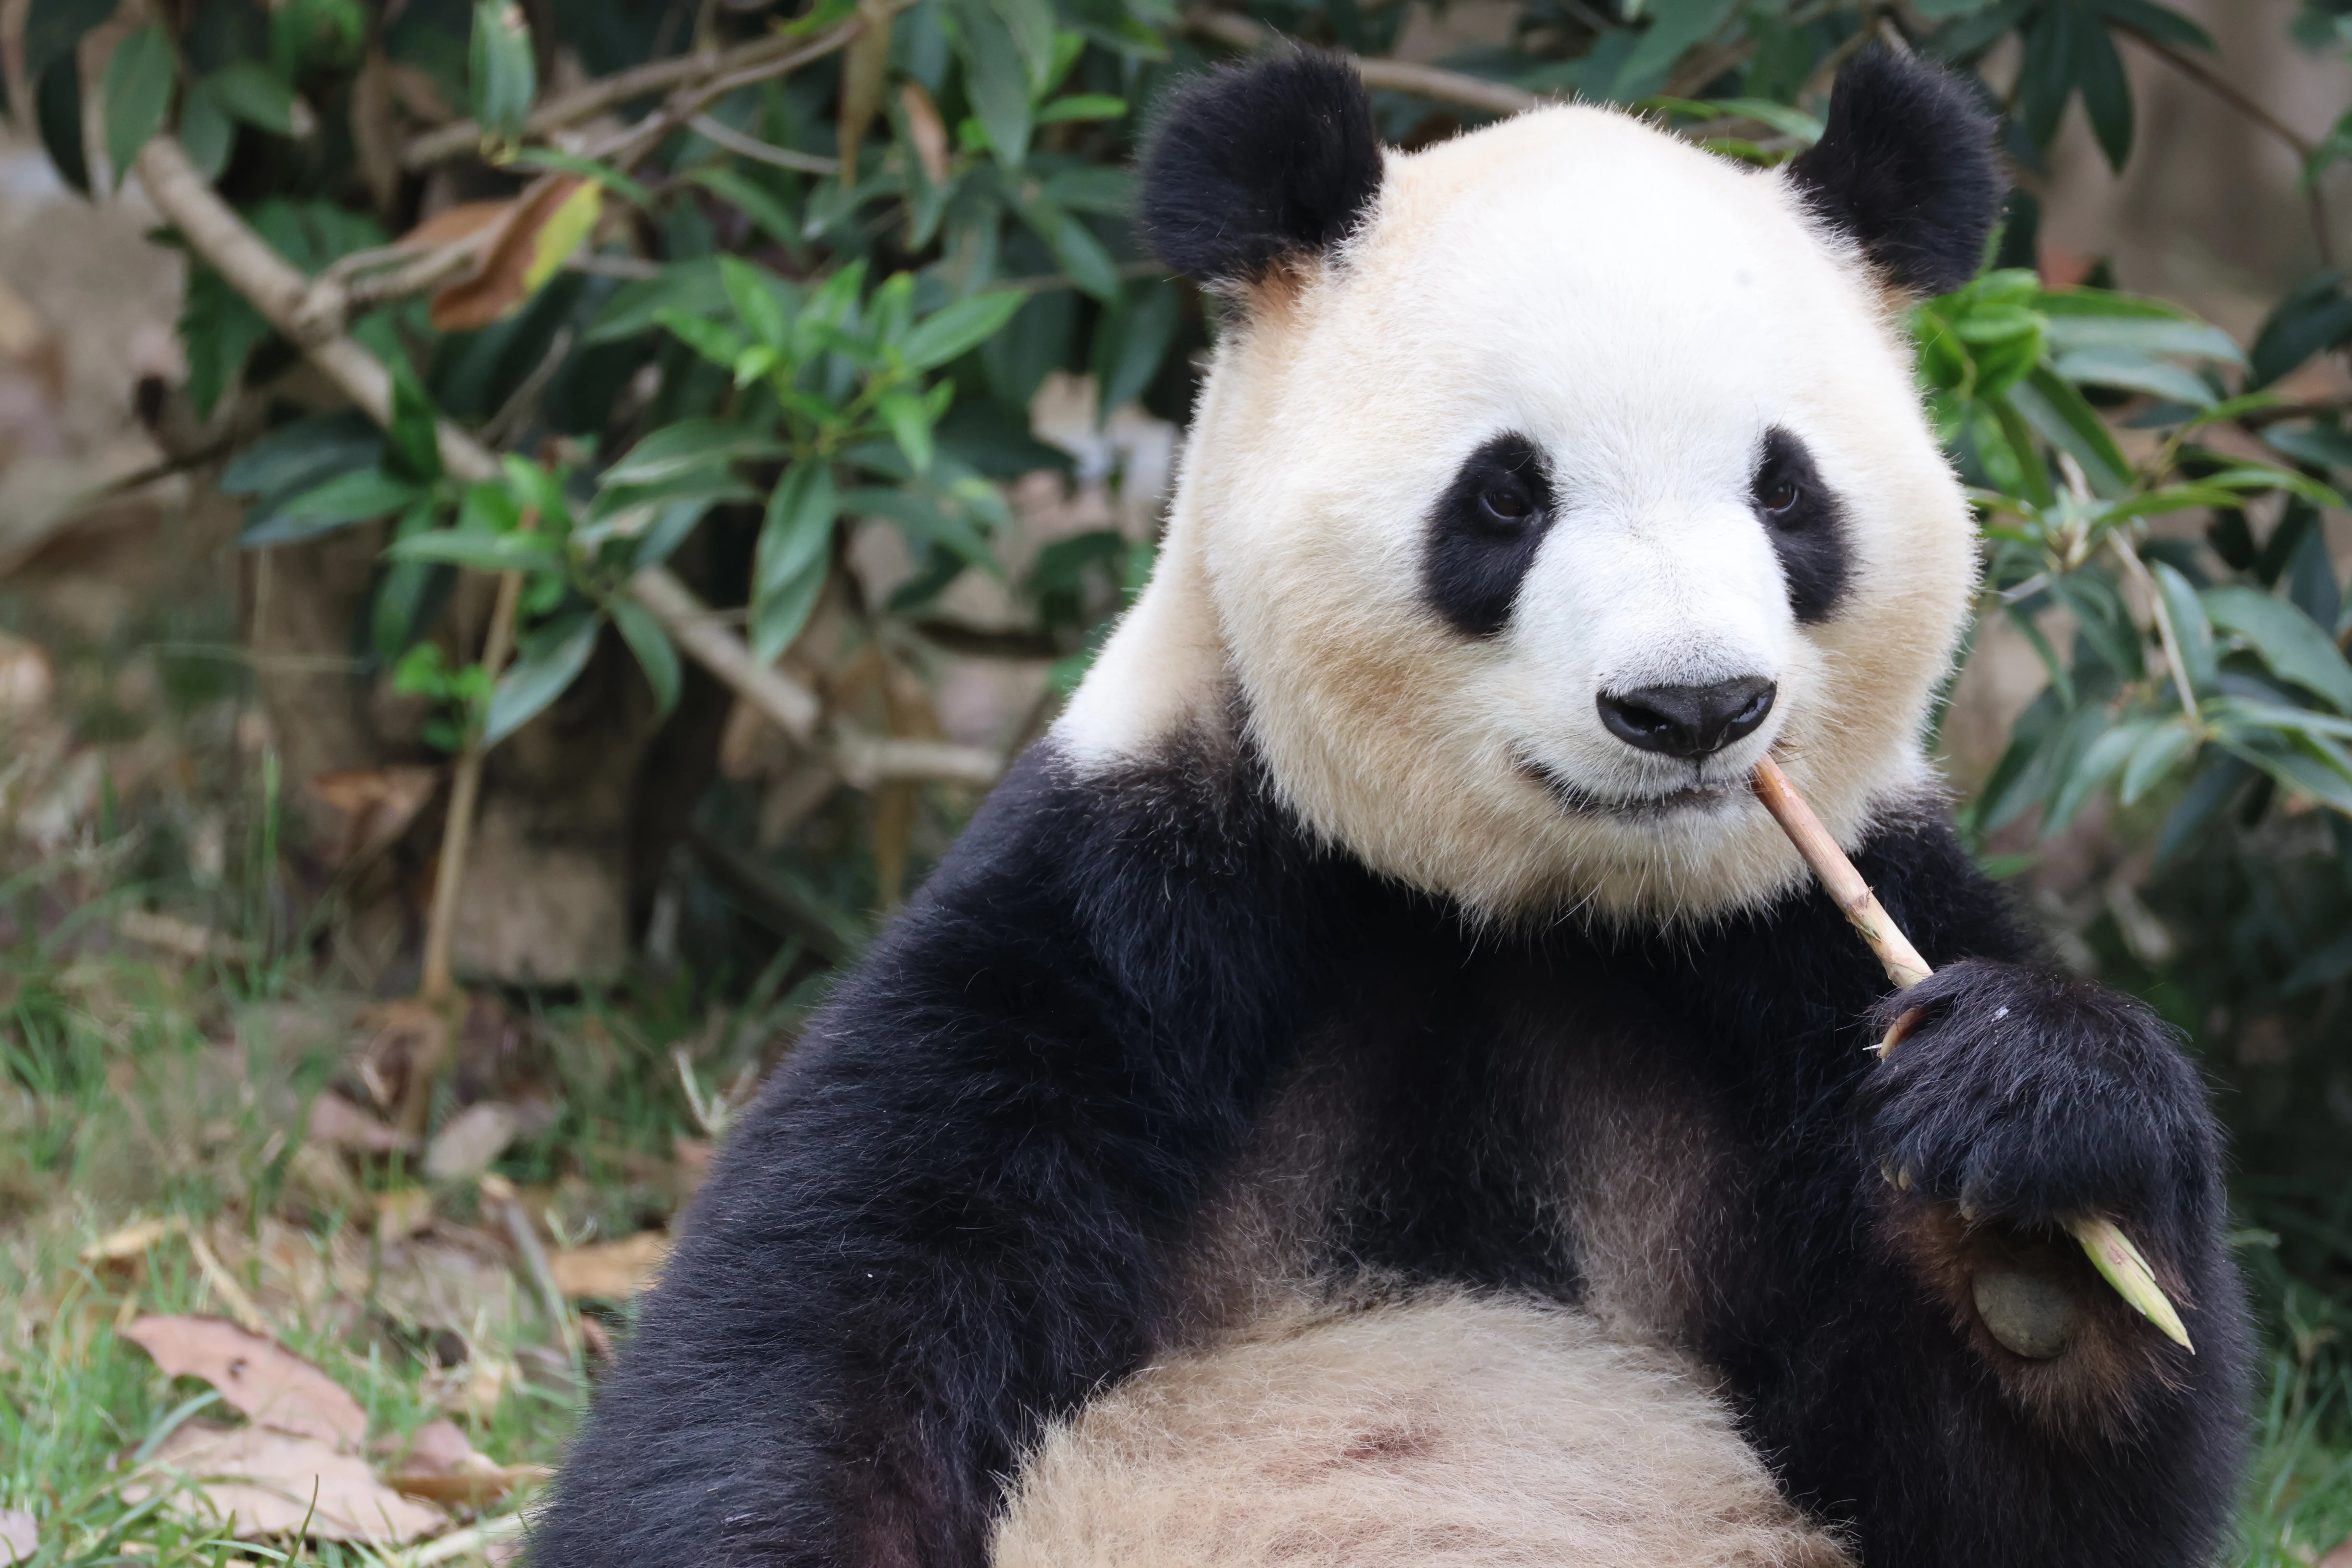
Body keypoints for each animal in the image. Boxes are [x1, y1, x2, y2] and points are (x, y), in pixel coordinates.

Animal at [535, 47, 2252, 1568]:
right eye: (1506, 494)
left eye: (1784, 490)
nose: (1693, 707)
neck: (1523, 912)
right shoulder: (1126, 918)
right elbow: (821, 1341)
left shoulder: (1796, 959)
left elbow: (2018, 1502)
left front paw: (2035, 1199)